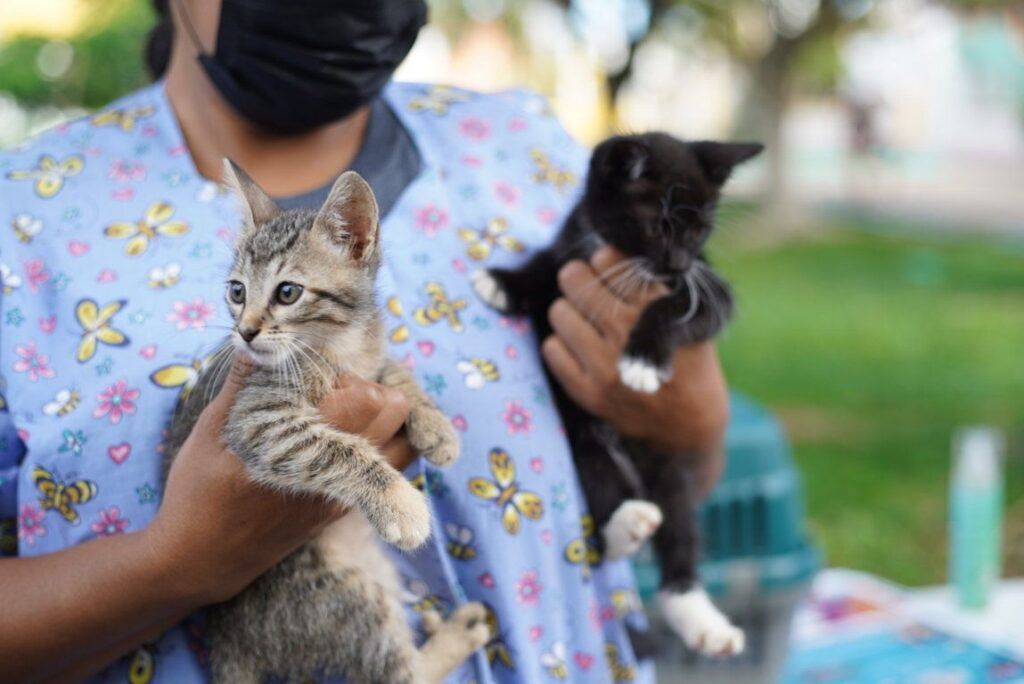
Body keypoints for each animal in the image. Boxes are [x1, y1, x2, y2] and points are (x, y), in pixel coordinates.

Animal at [163, 162, 491, 679]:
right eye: (237, 291)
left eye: (288, 292)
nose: (245, 332)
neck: (338, 345)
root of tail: (227, 634)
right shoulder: (258, 419)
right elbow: (337, 450)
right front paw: (400, 503)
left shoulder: (368, 362)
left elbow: (393, 371)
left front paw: (434, 426)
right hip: (345, 600)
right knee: (402, 673)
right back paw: (459, 635)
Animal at [471, 132, 761, 655]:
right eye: (658, 227)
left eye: (699, 233)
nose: (678, 266)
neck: (612, 250)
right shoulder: (569, 254)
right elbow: (546, 265)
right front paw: (503, 280)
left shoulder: (710, 289)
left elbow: (675, 307)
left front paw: (642, 361)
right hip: (588, 453)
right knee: (604, 521)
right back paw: (629, 523)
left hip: (672, 474)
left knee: (679, 537)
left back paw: (702, 620)